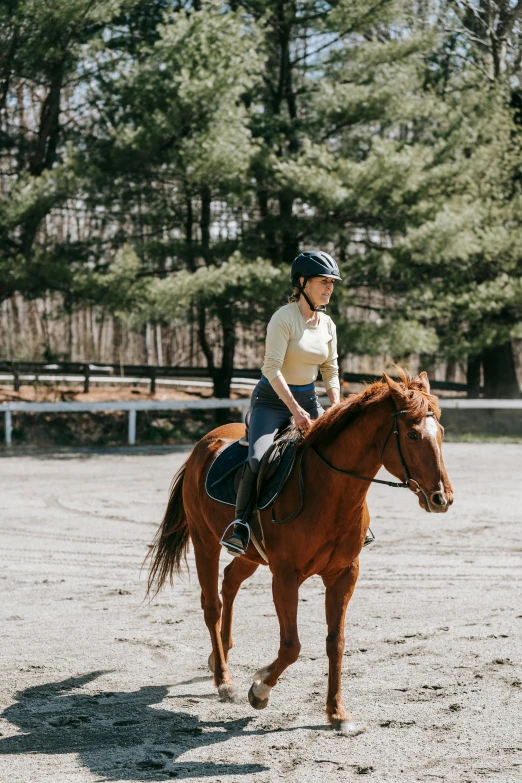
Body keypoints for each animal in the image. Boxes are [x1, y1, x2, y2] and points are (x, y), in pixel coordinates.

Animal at [145, 370, 450, 732]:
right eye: (413, 435)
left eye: (441, 433)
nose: (442, 498)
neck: (327, 489)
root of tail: (204, 444)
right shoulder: (286, 577)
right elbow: (291, 646)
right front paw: (259, 689)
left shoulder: (344, 575)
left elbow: (336, 642)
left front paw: (337, 712)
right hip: (205, 542)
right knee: (211, 606)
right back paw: (224, 680)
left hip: (250, 555)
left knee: (229, 582)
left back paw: (222, 652)